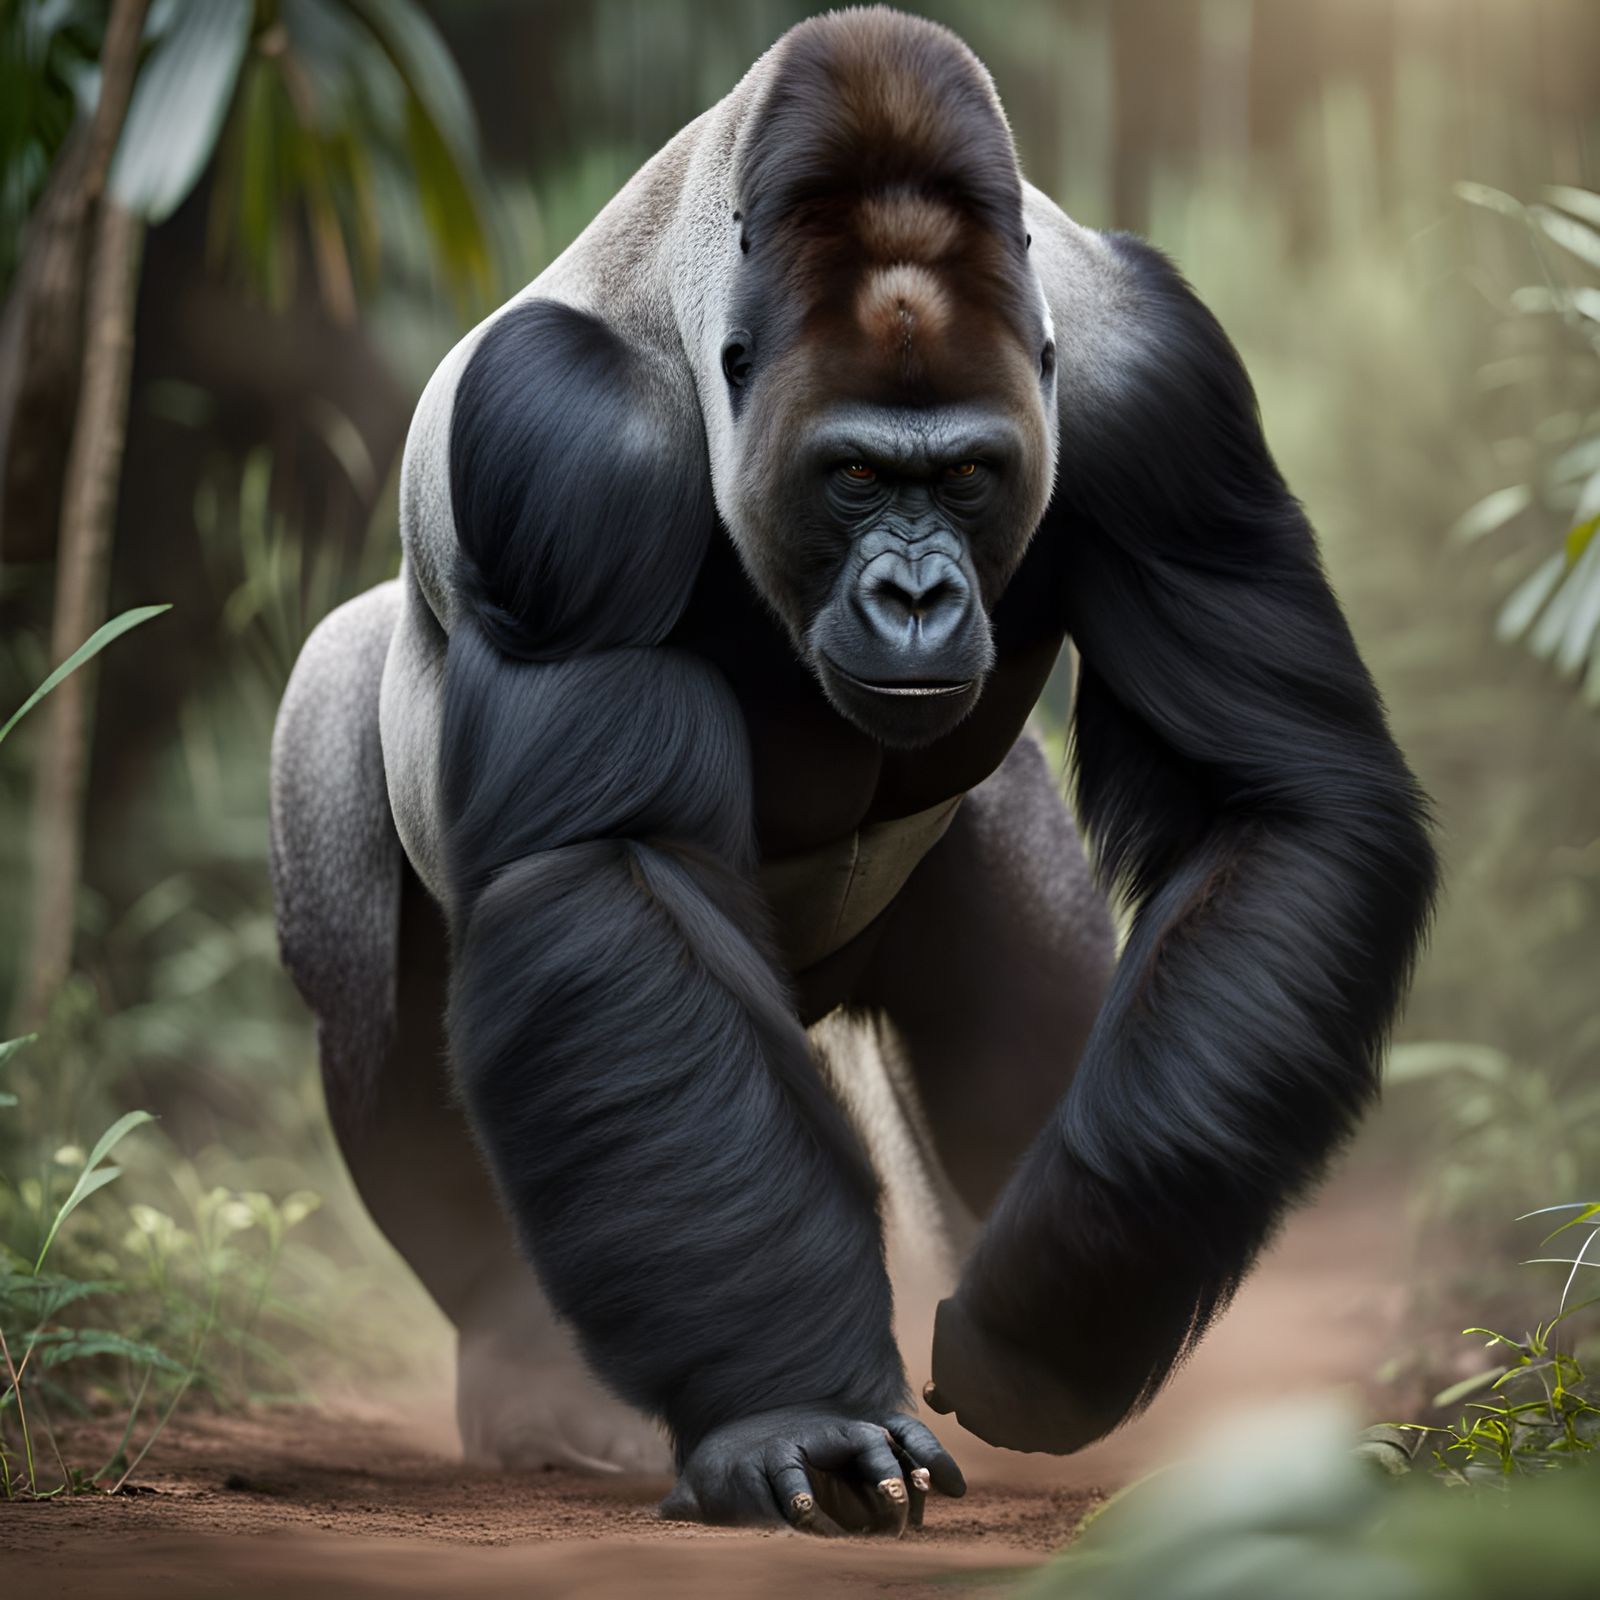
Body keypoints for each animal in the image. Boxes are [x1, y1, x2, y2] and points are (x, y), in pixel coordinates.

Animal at [270, 7, 1437, 1534]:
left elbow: (1276, 801)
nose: (916, 598)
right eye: (857, 478)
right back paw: (523, 1358)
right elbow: (608, 867)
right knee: (372, 978)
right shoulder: (566, 441)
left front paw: (1055, 1307)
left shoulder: (1164, 391)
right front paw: (795, 1407)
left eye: (966, 478)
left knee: (1033, 996)